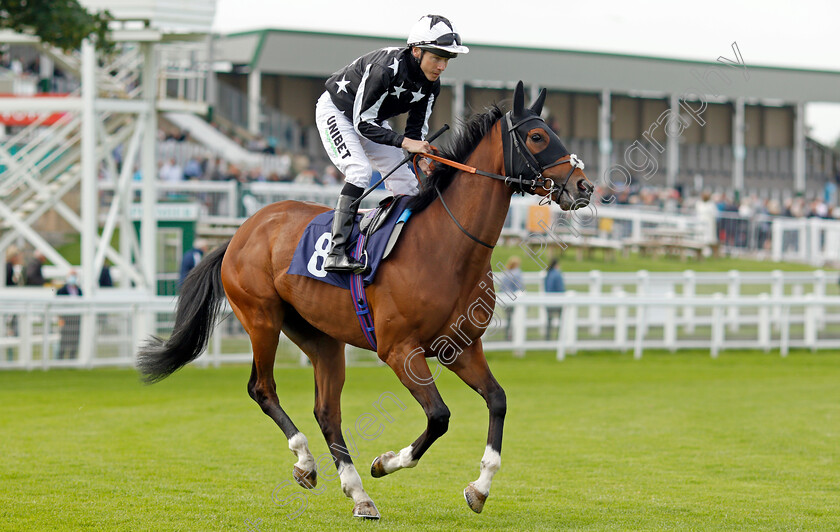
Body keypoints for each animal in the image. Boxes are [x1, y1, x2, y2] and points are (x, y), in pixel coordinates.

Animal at [138, 81, 592, 516]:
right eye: (537, 136)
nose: (584, 186)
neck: (446, 246)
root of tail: (239, 234)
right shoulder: (399, 350)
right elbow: (439, 417)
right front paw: (385, 461)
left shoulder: (460, 347)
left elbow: (497, 400)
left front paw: (479, 488)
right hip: (261, 318)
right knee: (262, 389)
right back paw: (306, 462)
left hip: (320, 337)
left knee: (327, 412)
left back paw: (357, 494)